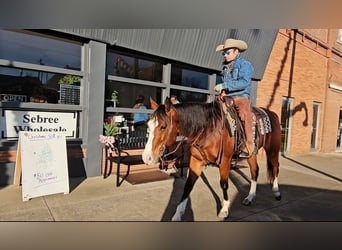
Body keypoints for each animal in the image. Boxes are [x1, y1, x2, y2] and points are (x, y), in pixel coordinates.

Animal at [142, 97, 280, 221]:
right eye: (148, 125)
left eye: (163, 126)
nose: (146, 157)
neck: (206, 129)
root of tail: (272, 114)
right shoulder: (196, 161)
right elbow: (188, 186)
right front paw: (178, 214)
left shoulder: (225, 161)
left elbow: (224, 184)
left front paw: (224, 209)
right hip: (251, 154)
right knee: (254, 171)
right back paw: (250, 197)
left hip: (273, 150)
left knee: (274, 167)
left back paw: (276, 192)